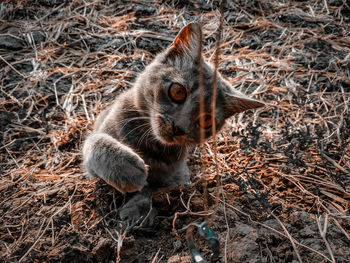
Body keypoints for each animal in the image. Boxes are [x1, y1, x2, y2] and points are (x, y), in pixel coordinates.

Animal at [82, 22, 262, 225]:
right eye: (178, 91)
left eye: (206, 120)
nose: (179, 127)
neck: (149, 143)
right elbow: (96, 142)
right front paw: (127, 169)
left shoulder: (178, 176)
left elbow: (156, 188)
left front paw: (139, 208)